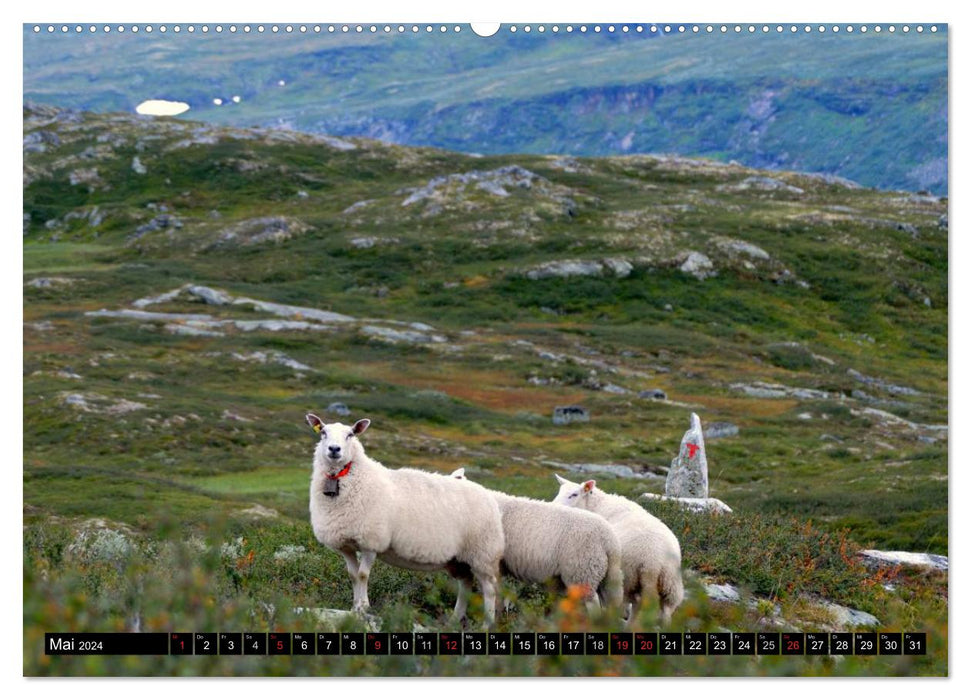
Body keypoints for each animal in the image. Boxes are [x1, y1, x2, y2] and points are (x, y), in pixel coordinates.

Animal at [306, 416, 504, 628]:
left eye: (350, 434)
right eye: (323, 432)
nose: (334, 449)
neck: (346, 479)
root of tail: (487, 493)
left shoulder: (371, 541)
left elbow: (362, 575)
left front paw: (363, 607)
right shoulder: (346, 544)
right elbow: (353, 576)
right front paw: (354, 609)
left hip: (484, 552)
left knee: (490, 589)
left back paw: (487, 624)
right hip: (460, 559)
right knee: (466, 584)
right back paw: (454, 619)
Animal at [556, 474, 684, 628]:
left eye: (574, 494)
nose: (554, 505)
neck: (596, 506)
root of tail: (655, 561)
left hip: (628, 575)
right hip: (669, 583)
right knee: (665, 610)